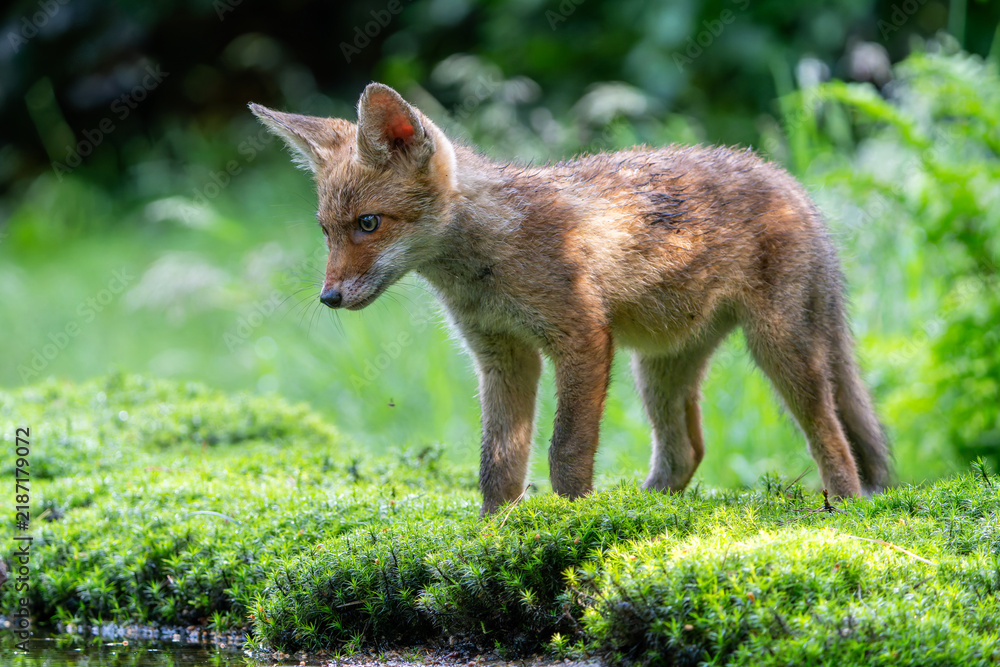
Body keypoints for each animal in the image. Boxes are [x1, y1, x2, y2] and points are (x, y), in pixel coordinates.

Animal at [250, 83, 891, 515]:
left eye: (369, 224)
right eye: (326, 231)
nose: (329, 297)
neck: (490, 260)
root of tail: (788, 180)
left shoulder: (581, 340)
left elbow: (565, 453)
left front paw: (573, 524)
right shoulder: (503, 358)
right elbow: (498, 465)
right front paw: (496, 532)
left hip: (780, 351)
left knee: (835, 441)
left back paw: (844, 510)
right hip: (658, 369)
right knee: (686, 452)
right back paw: (644, 511)